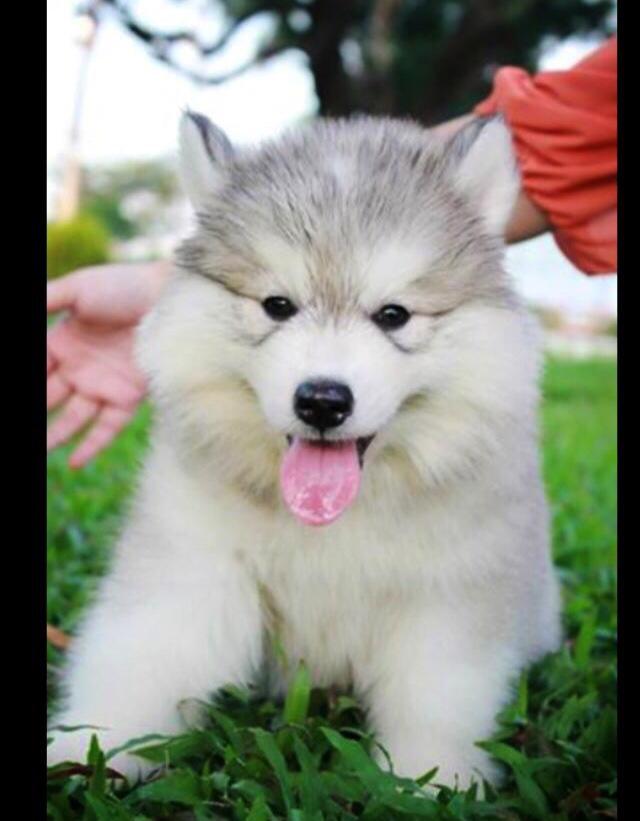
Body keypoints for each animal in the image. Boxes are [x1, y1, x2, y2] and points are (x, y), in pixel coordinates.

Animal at [48, 112, 562, 788]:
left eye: (393, 315)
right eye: (277, 306)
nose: (321, 400)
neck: (333, 523)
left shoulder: (447, 602)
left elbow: (434, 704)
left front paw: (429, 785)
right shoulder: (190, 569)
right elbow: (138, 667)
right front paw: (83, 755)